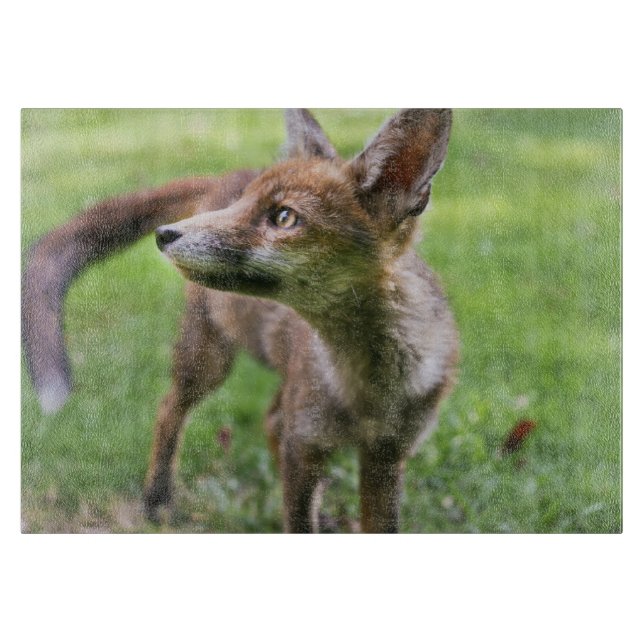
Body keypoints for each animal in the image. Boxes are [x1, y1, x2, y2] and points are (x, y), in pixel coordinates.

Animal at [22, 109, 459, 533]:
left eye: (284, 217)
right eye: (244, 204)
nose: (165, 234)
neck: (367, 389)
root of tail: (226, 176)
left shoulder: (387, 456)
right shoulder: (305, 445)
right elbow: (298, 521)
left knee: (269, 420)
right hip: (208, 361)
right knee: (169, 409)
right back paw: (157, 498)